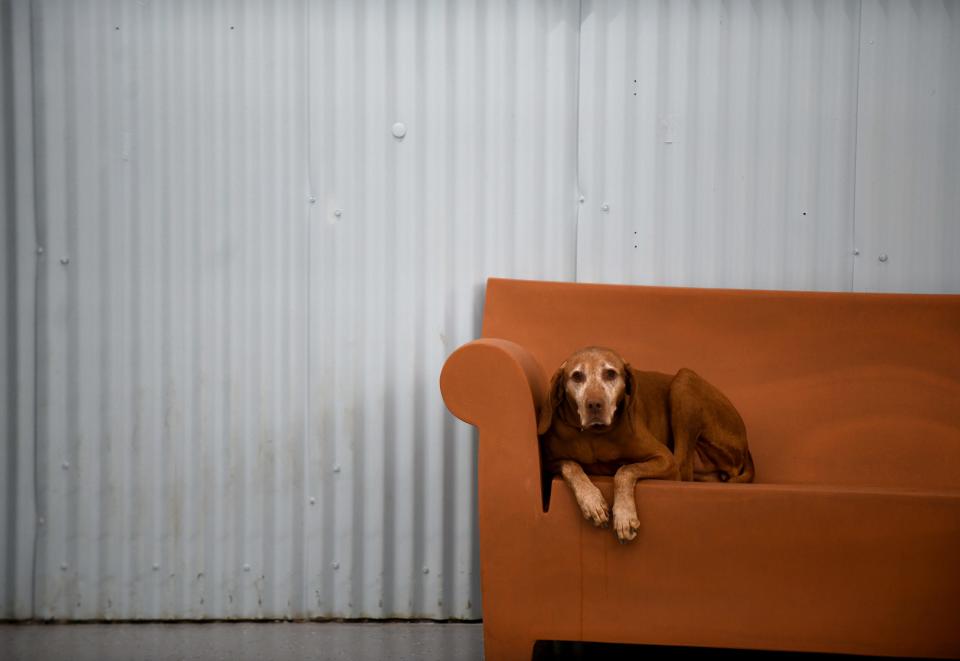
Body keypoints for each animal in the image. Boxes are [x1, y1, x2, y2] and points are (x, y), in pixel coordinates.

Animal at [536, 346, 752, 540]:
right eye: (577, 376)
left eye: (610, 374)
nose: (594, 405)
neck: (594, 435)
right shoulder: (549, 461)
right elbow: (571, 466)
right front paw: (592, 501)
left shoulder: (665, 459)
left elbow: (625, 471)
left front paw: (624, 515)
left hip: (683, 382)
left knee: (682, 471)